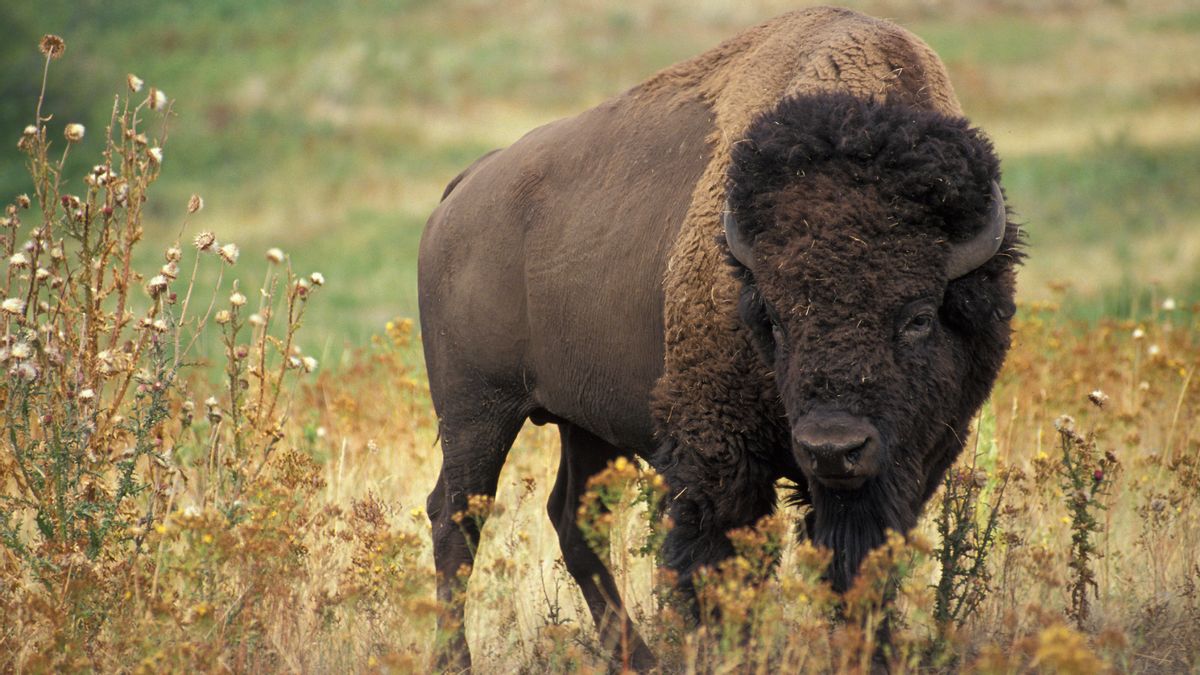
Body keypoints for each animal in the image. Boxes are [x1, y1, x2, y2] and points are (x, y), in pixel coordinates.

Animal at [418, 6, 1021, 670]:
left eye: (918, 316)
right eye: (774, 319)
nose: (832, 448)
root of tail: (465, 188)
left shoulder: (910, 460)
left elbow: (861, 564)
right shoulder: (718, 452)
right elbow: (716, 563)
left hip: (583, 422)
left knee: (572, 518)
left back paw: (638, 656)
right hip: (477, 411)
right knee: (457, 517)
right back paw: (457, 659)